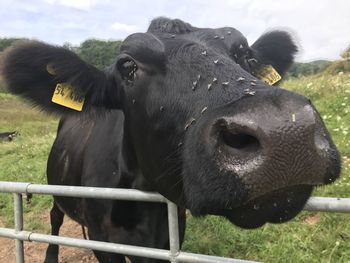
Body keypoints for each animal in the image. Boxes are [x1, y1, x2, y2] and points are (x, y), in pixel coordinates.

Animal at [2, 17, 340, 263]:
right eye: (128, 65)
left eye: (245, 54)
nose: (284, 131)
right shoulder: (104, 242)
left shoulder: (165, 239)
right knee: (55, 217)